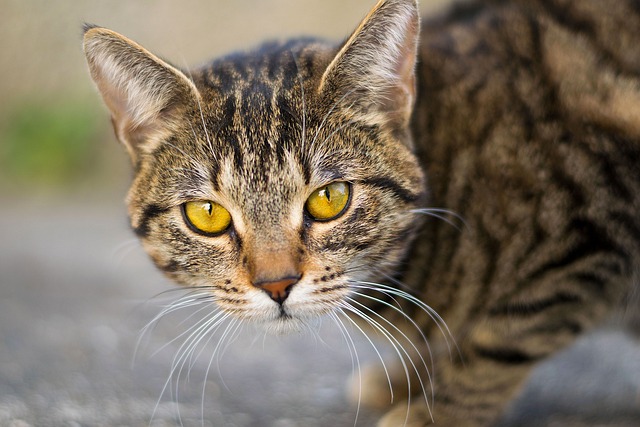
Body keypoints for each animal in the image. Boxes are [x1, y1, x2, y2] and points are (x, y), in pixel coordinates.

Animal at [82, 0, 640, 426]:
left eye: (330, 199)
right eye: (207, 214)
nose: (277, 284)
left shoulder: (583, 246)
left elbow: (490, 352)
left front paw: (430, 415)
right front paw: (405, 381)